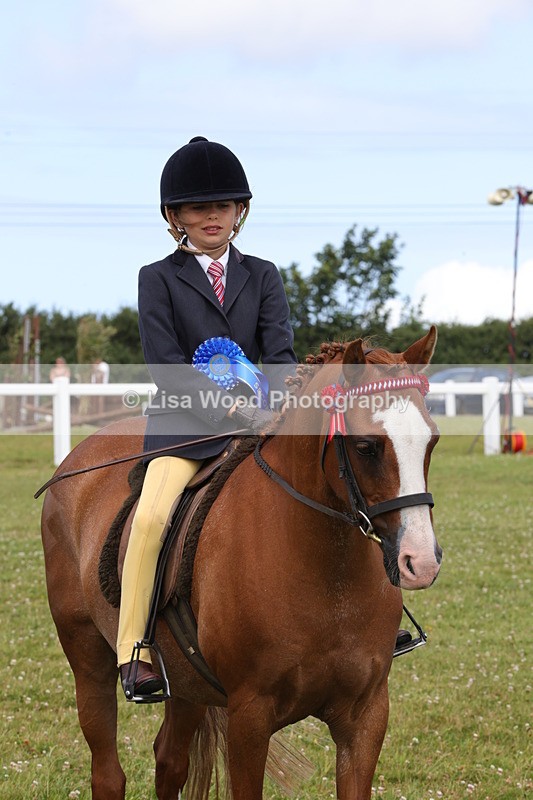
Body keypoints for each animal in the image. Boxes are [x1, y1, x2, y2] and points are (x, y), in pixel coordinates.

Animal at [39, 326, 442, 800]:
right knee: (107, 773)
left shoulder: (366, 716)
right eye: (366, 447)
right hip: (88, 657)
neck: (327, 575)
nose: (421, 561)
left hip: (188, 685)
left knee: (169, 761)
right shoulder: (249, 716)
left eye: (432, 440)